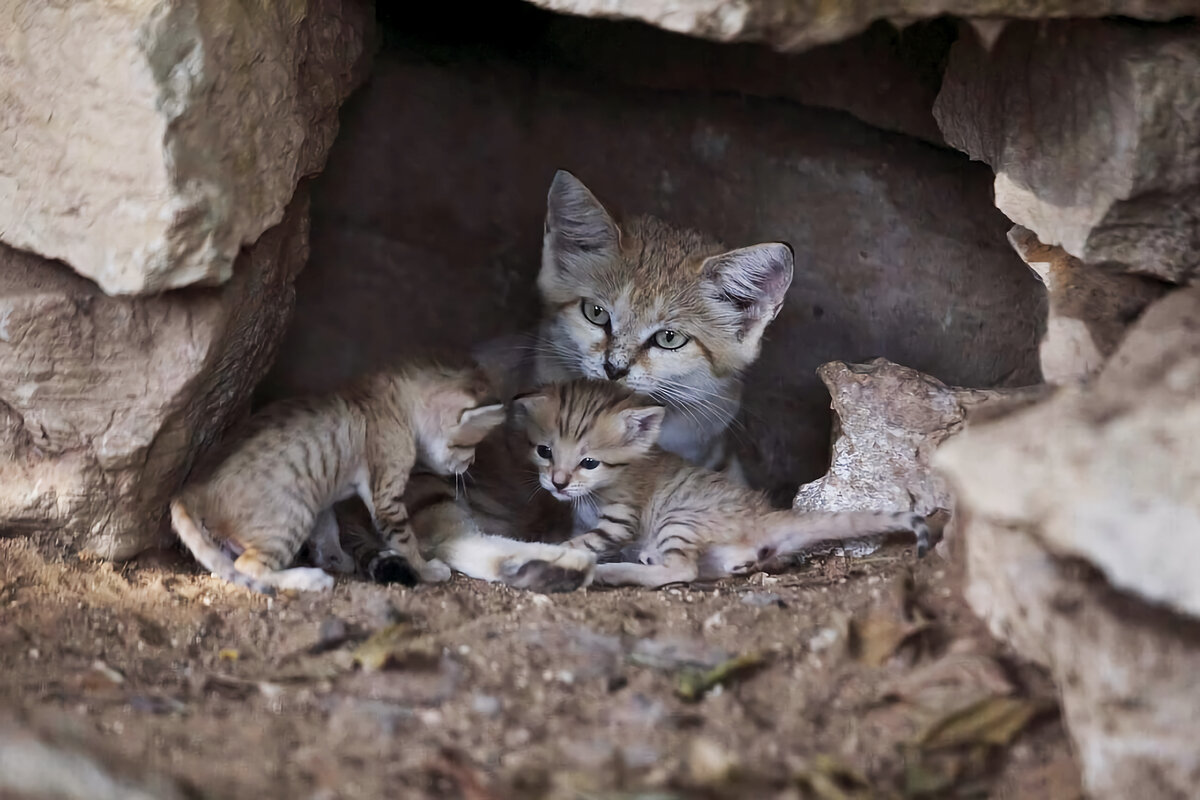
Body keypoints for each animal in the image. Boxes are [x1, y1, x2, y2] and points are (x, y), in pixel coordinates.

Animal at [171, 362, 504, 594]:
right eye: (469, 446)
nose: (471, 463)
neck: (395, 404)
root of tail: (195, 489)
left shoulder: (332, 498)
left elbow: (330, 536)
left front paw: (348, 559)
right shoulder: (386, 496)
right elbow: (405, 540)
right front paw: (427, 570)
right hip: (293, 513)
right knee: (249, 566)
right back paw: (309, 579)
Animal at [506, 379, 926, 592]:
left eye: (590, 462)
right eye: (544, 451)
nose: (558, 483)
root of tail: (763, 516)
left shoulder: (620, 520)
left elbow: (580, 544)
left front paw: (545, 553)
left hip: (678, 520)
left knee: (681, 571)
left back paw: (616, 572)